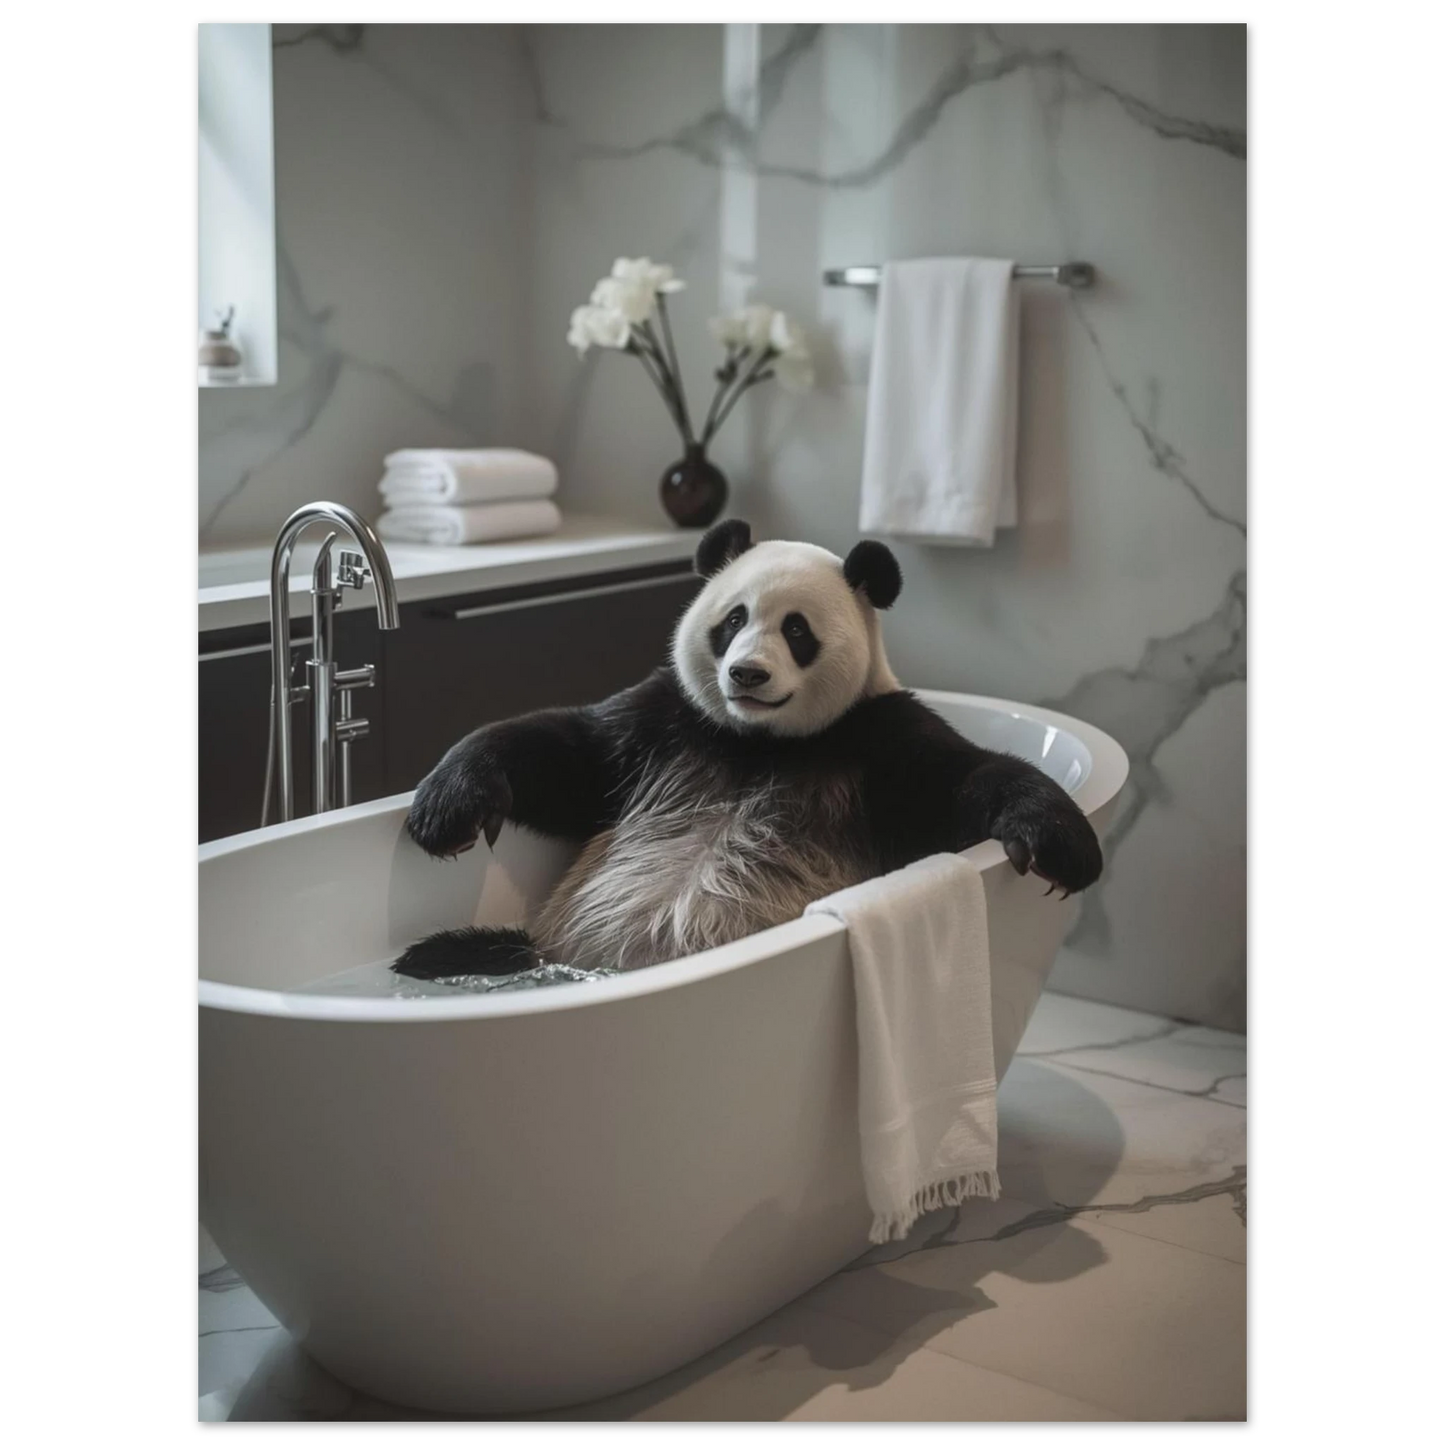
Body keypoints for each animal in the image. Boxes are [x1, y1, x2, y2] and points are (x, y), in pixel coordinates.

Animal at [395, 519, 1103, 979]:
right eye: (733, 619)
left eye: (797, 631)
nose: (747, 675)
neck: (760, 743)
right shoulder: (666, 723)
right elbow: (565, 755)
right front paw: (447, 809)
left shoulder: (876, 738)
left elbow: (961, 782)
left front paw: (1060, 843)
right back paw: (439, 956)